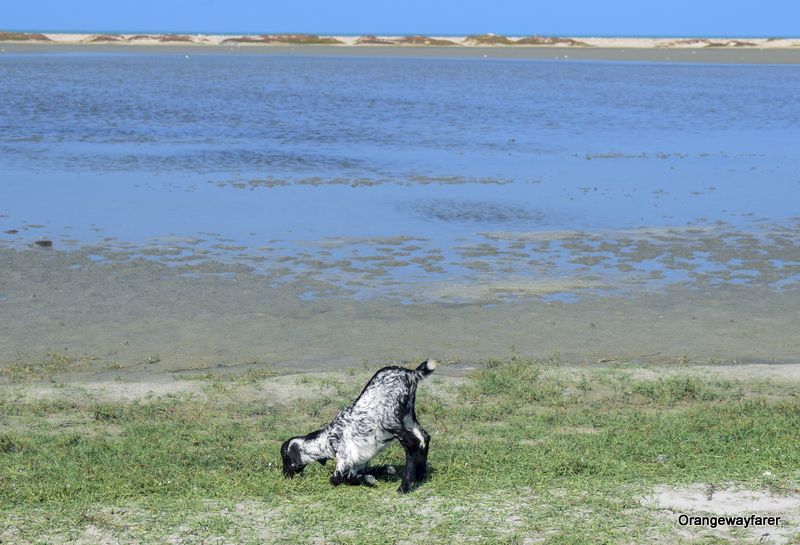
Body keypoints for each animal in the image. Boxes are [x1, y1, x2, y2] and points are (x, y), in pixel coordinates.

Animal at [282, 356, 438, 492]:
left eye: (285, 458)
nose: (284, 475)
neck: (326, 440)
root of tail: (411, 373)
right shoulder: (359, 463)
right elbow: (368, 472)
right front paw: (379, 473)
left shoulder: (344, 459)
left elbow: (336, 479)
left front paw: (368, 479)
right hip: (408, 416)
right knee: (424, 437)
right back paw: (420, 477)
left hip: (389, 420)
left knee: (412, 443)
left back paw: (404, 487)